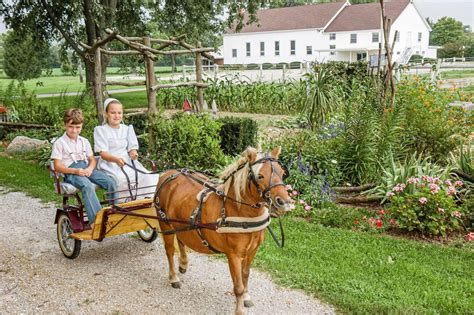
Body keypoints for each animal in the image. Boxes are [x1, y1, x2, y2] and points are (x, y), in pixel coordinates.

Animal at [154, 147, 290, 314]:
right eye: (260, 176)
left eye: (282, 173)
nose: (284, 202)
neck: (239, 211)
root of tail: (168, 173)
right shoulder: (234, 255)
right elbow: (238, 285)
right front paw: (239, 309)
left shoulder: (252, 251)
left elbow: (245, 275)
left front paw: (246, 297)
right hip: (165, 223)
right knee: (169, 251)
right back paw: (173, 277)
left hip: (180, 223)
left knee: (181, 239)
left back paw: (184, 263)